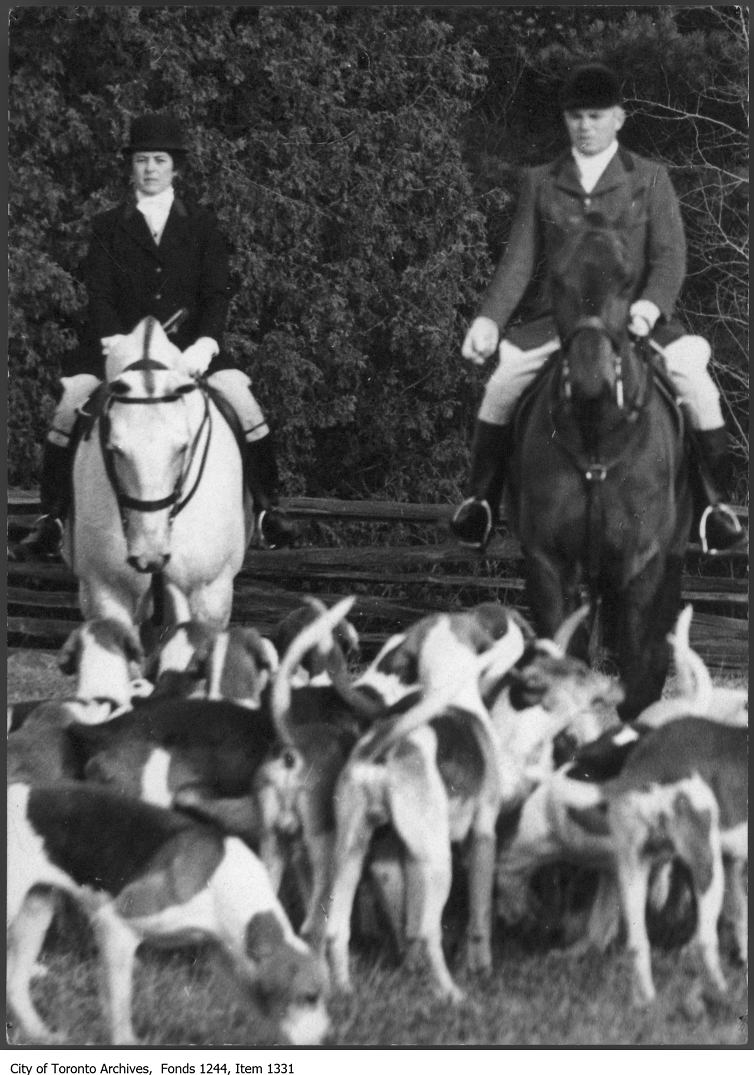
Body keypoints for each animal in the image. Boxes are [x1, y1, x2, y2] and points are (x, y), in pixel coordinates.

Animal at [509, 212, 692, 718]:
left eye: (627, 281)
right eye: (557, 280)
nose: (592, 377)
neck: (596, 441)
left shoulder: (640, 565)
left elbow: (638, 666)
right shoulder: (549, 564)